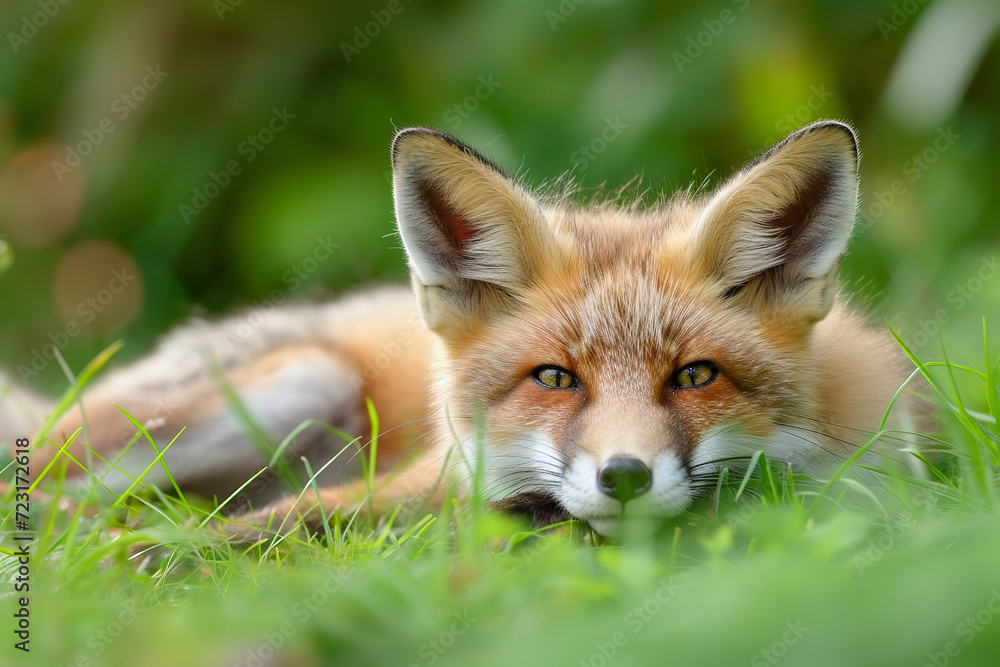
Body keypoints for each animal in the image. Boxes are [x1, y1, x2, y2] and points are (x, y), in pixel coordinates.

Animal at [2, 120, 928, 537]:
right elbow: (297, 519)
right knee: (58, 493)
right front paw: (166, 555)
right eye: (554, 378)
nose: (623, 476)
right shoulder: (440, 479)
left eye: (695, 375)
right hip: (287, 383)